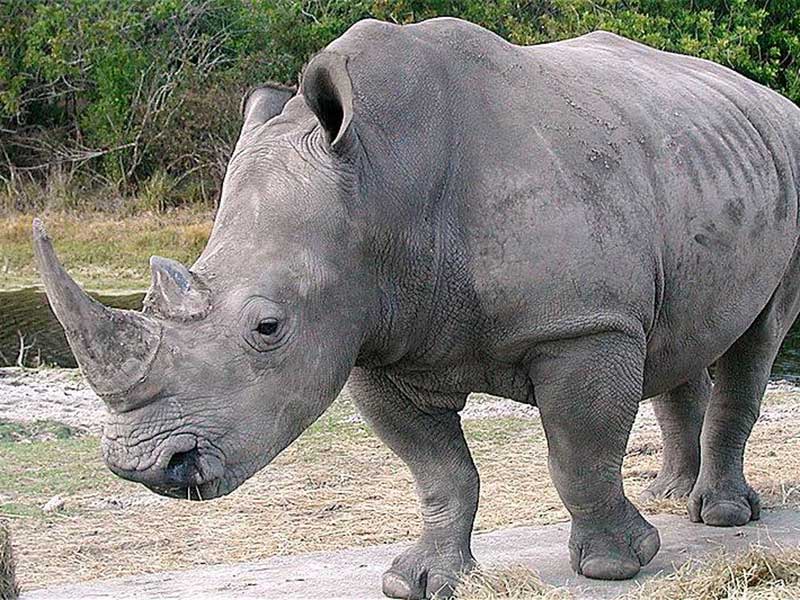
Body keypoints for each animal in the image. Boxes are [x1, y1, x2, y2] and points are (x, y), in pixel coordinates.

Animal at [34, 17, 800, 600]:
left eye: (268, 327)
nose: (143, 466)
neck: (381, 179)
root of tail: (767, 98)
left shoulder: (582, 325)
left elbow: (578, 452)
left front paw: (617, 565)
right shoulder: (373, 336)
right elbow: (439, 472)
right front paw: (420, 581)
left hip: (785, 159)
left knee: (757, 341)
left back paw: (720, 516)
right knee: (682, 334)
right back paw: (670, 497)